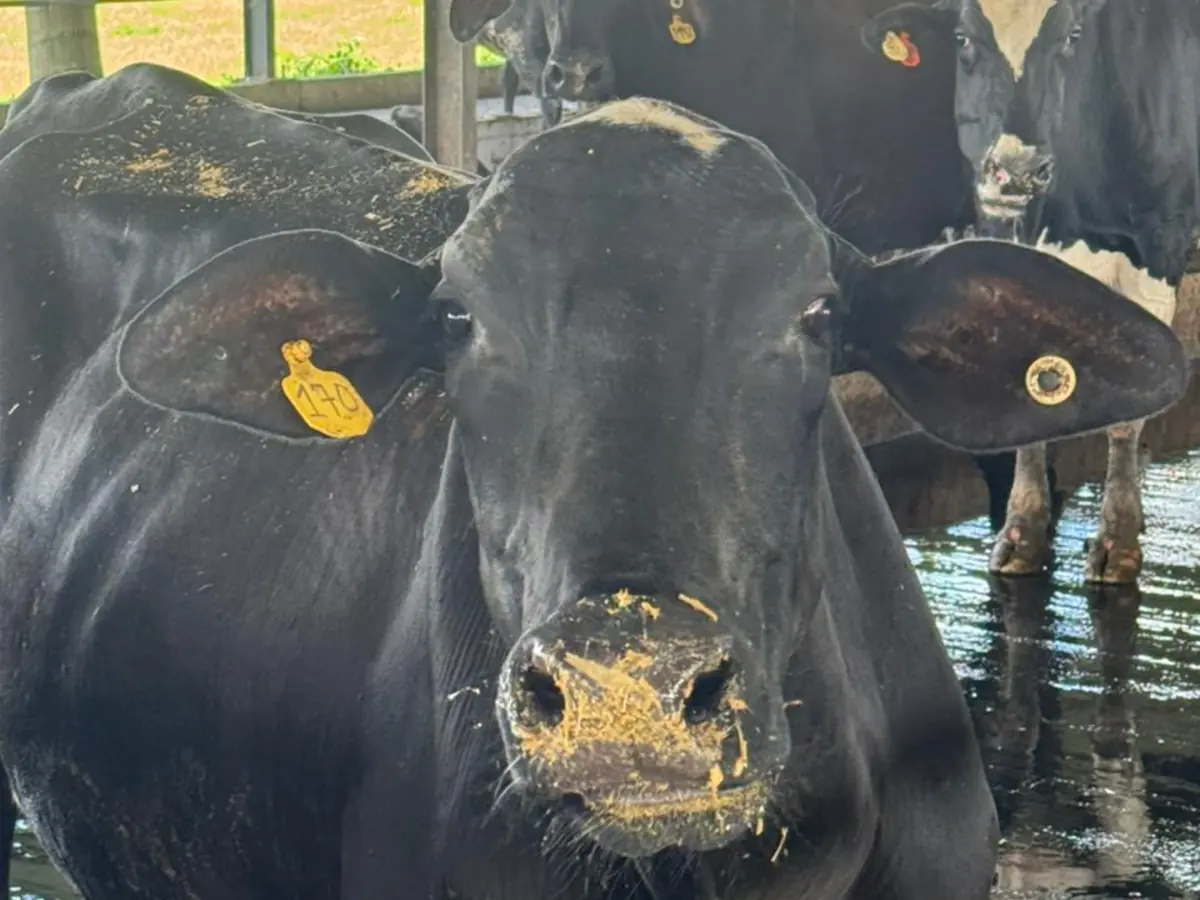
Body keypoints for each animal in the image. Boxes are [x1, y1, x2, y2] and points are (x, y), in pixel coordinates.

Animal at [859, 0, 1198, 584]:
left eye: (1073, 35)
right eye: (963, 38)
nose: (1017, 172)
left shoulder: (1163, 241)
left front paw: (1118, 541)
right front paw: (1023, 532)